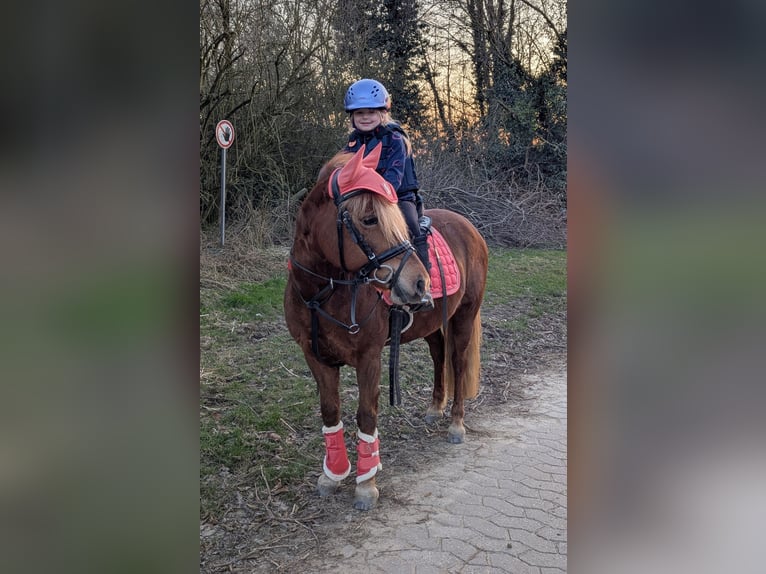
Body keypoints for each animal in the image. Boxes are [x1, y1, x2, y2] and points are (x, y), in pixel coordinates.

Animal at [284, 144, 488, 510]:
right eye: (368, 219)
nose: (420, 282)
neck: (322, 294)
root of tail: (470, 227)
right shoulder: (315, 357)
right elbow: (330, 411)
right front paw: (333, 475)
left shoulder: (369, 357)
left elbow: (366, 414)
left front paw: (366, 484)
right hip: (432, 326)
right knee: (439, 356)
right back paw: (435, 407)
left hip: (464, 317)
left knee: (459, 364)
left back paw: (455, 423)